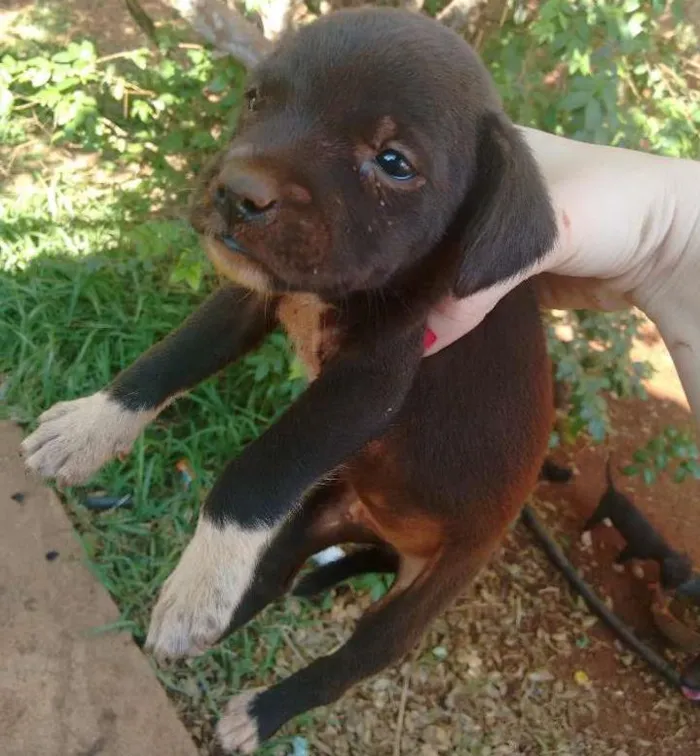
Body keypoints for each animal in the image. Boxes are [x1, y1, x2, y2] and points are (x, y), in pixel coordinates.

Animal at [20, 8, 556, 752]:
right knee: (271, 576)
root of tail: (384, 536)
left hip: (421, 597)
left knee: (345, 665)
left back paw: (257, 704)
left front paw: (201, 581)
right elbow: (168, 357)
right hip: (309, 516)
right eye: (256, 100)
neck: (325, 295)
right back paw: (205, 610)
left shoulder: (368, 385)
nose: (237, 193)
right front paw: (85, 429)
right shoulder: (252, 300)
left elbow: (259, 467)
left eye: (394, 162)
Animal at [584, 458, 692, 592]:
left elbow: (636, 560)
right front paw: (617, 566)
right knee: (589, 522)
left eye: (681, 582)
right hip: (601, 510)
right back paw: (585, 537)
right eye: (672, 580)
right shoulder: (632, 548)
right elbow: (623, 556)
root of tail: (613, 491)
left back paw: (607, 521)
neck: (659, 548)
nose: (668, 591)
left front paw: (637, 569)